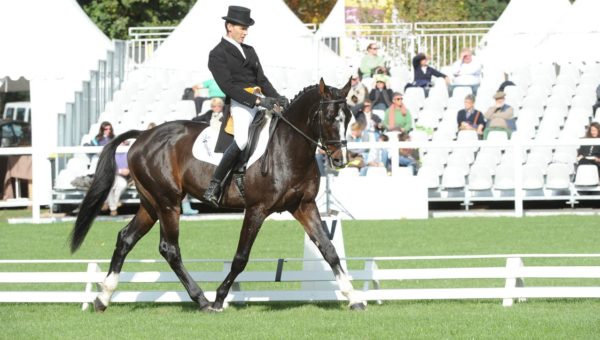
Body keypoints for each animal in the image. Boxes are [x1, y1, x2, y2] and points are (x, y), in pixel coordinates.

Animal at [67, 78, 366, 312]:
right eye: (329, 118)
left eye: (349, 118)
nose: (340, 160)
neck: (288, 148)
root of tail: (143, 135)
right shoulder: (256, 209)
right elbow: (241, 257)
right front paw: (220, 298)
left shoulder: (304, 205)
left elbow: (329, 250)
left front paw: (353, 297)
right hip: (168, 203)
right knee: (170, 249)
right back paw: (201, 299)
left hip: (151, 204)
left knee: (126, 239)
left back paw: (103, 297)